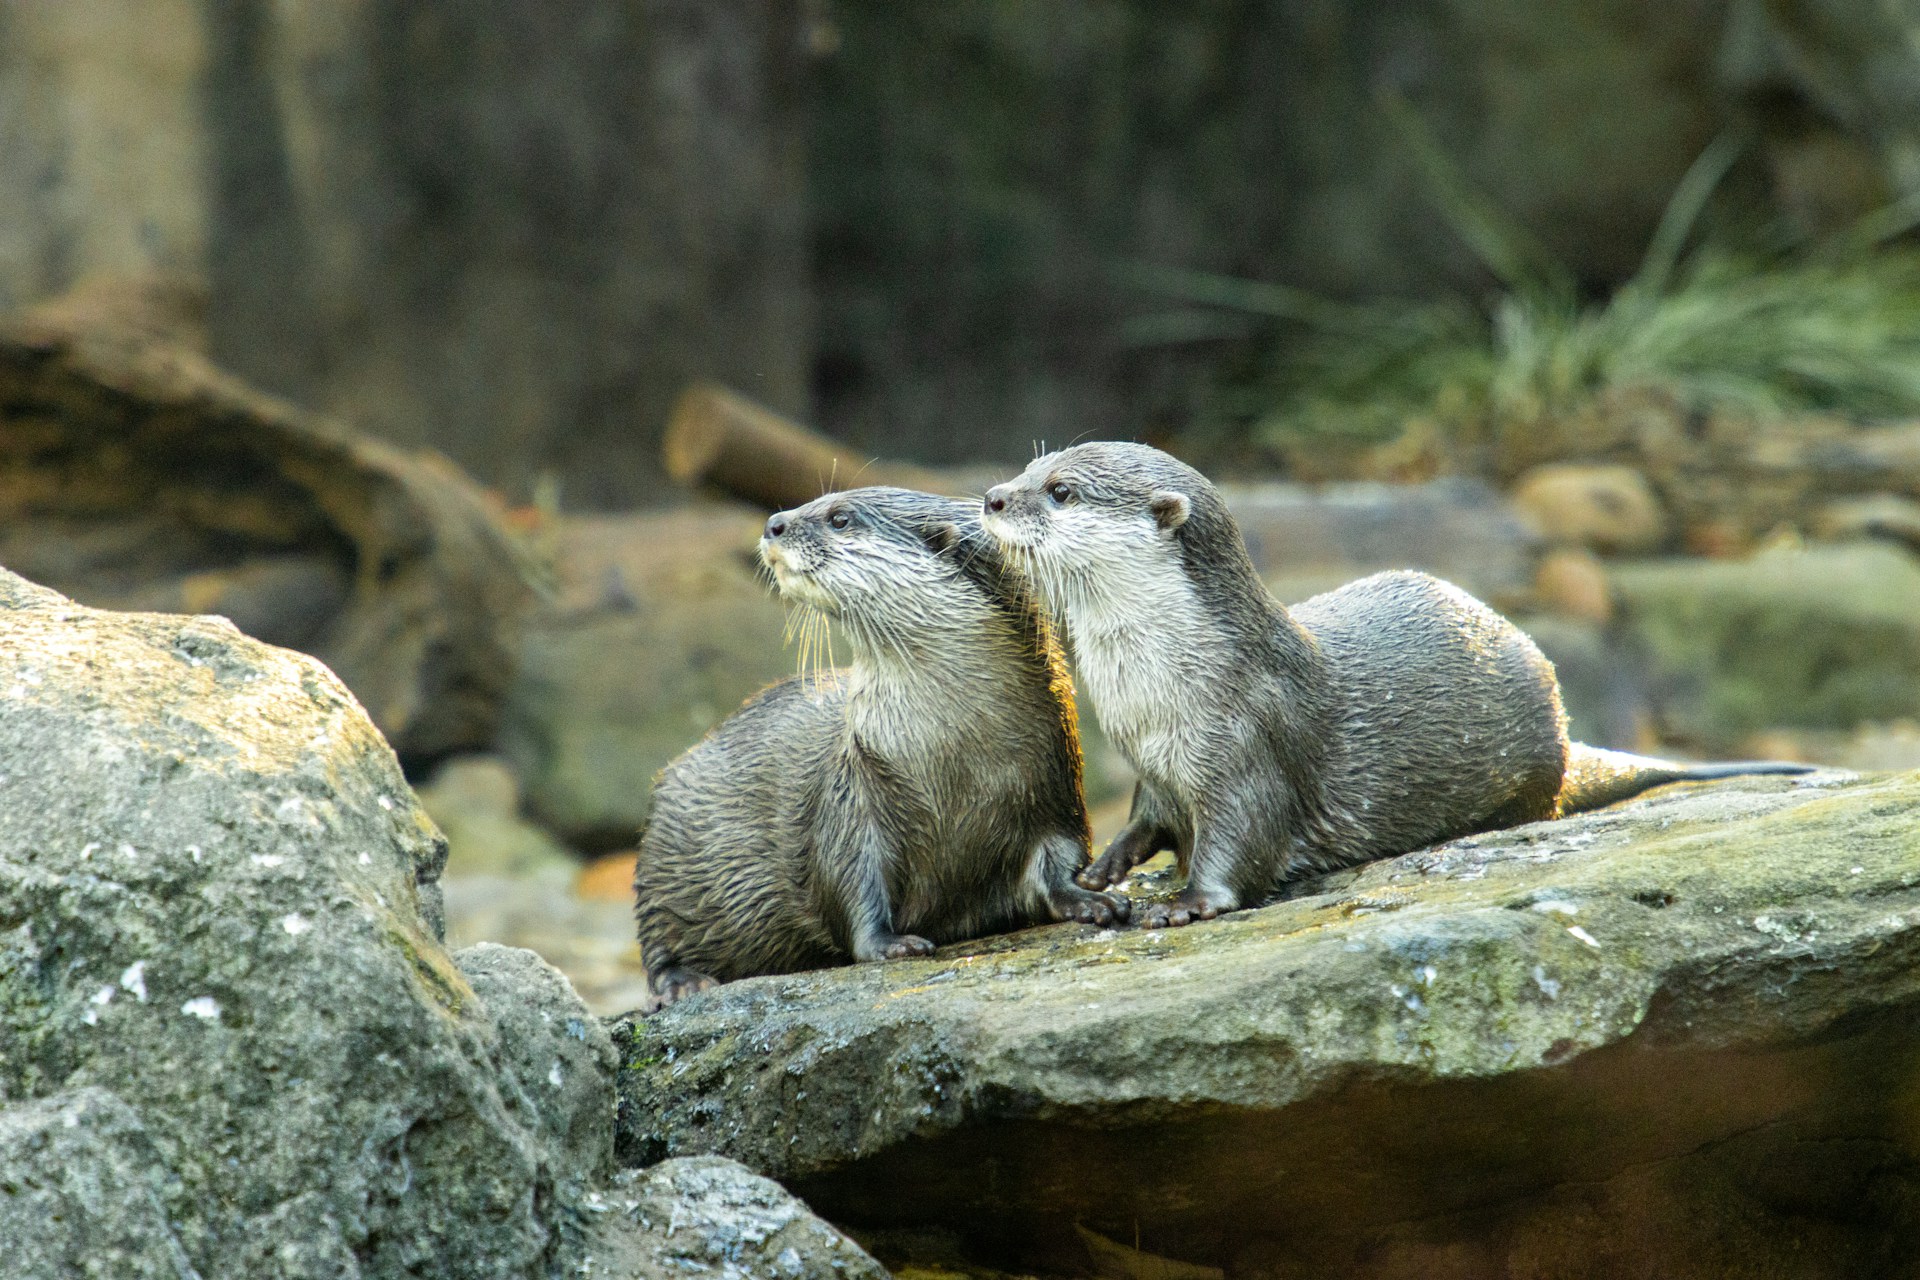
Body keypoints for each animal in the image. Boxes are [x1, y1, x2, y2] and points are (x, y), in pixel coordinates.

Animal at [629, 485, 1121, 1005]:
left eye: (840, 518)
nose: (773, 523)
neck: (949, 758)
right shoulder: (852, 791)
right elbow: (850, 878)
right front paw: (890, 944)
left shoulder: (1053, 779)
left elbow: (1061, 858)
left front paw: (1089, 901)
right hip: (664, 851)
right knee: (657, 939)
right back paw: (684, 982)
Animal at [983, 445, 1804, 924]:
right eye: (1029, 469)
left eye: (1060, 491)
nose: (991, 496)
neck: (1157, 695)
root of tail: (1565, 732)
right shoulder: (1156, 766)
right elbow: (1147, 818)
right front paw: (1104, 869)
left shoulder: (1247, 741)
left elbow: (1240, 843)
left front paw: (1185, 903)